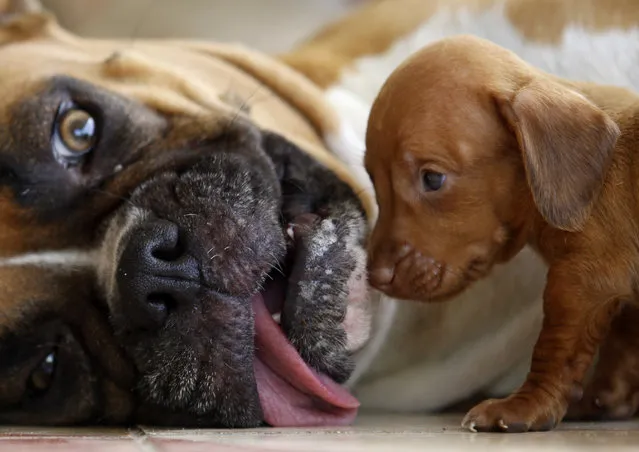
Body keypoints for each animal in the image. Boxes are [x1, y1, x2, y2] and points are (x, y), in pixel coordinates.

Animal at [364, 34, 639, 430]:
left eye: (432, 179)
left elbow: (555, 348)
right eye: (373, 180)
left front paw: (524, 407)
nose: (376, 277)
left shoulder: (579, 282)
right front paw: (601, 400)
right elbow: (623, 344)